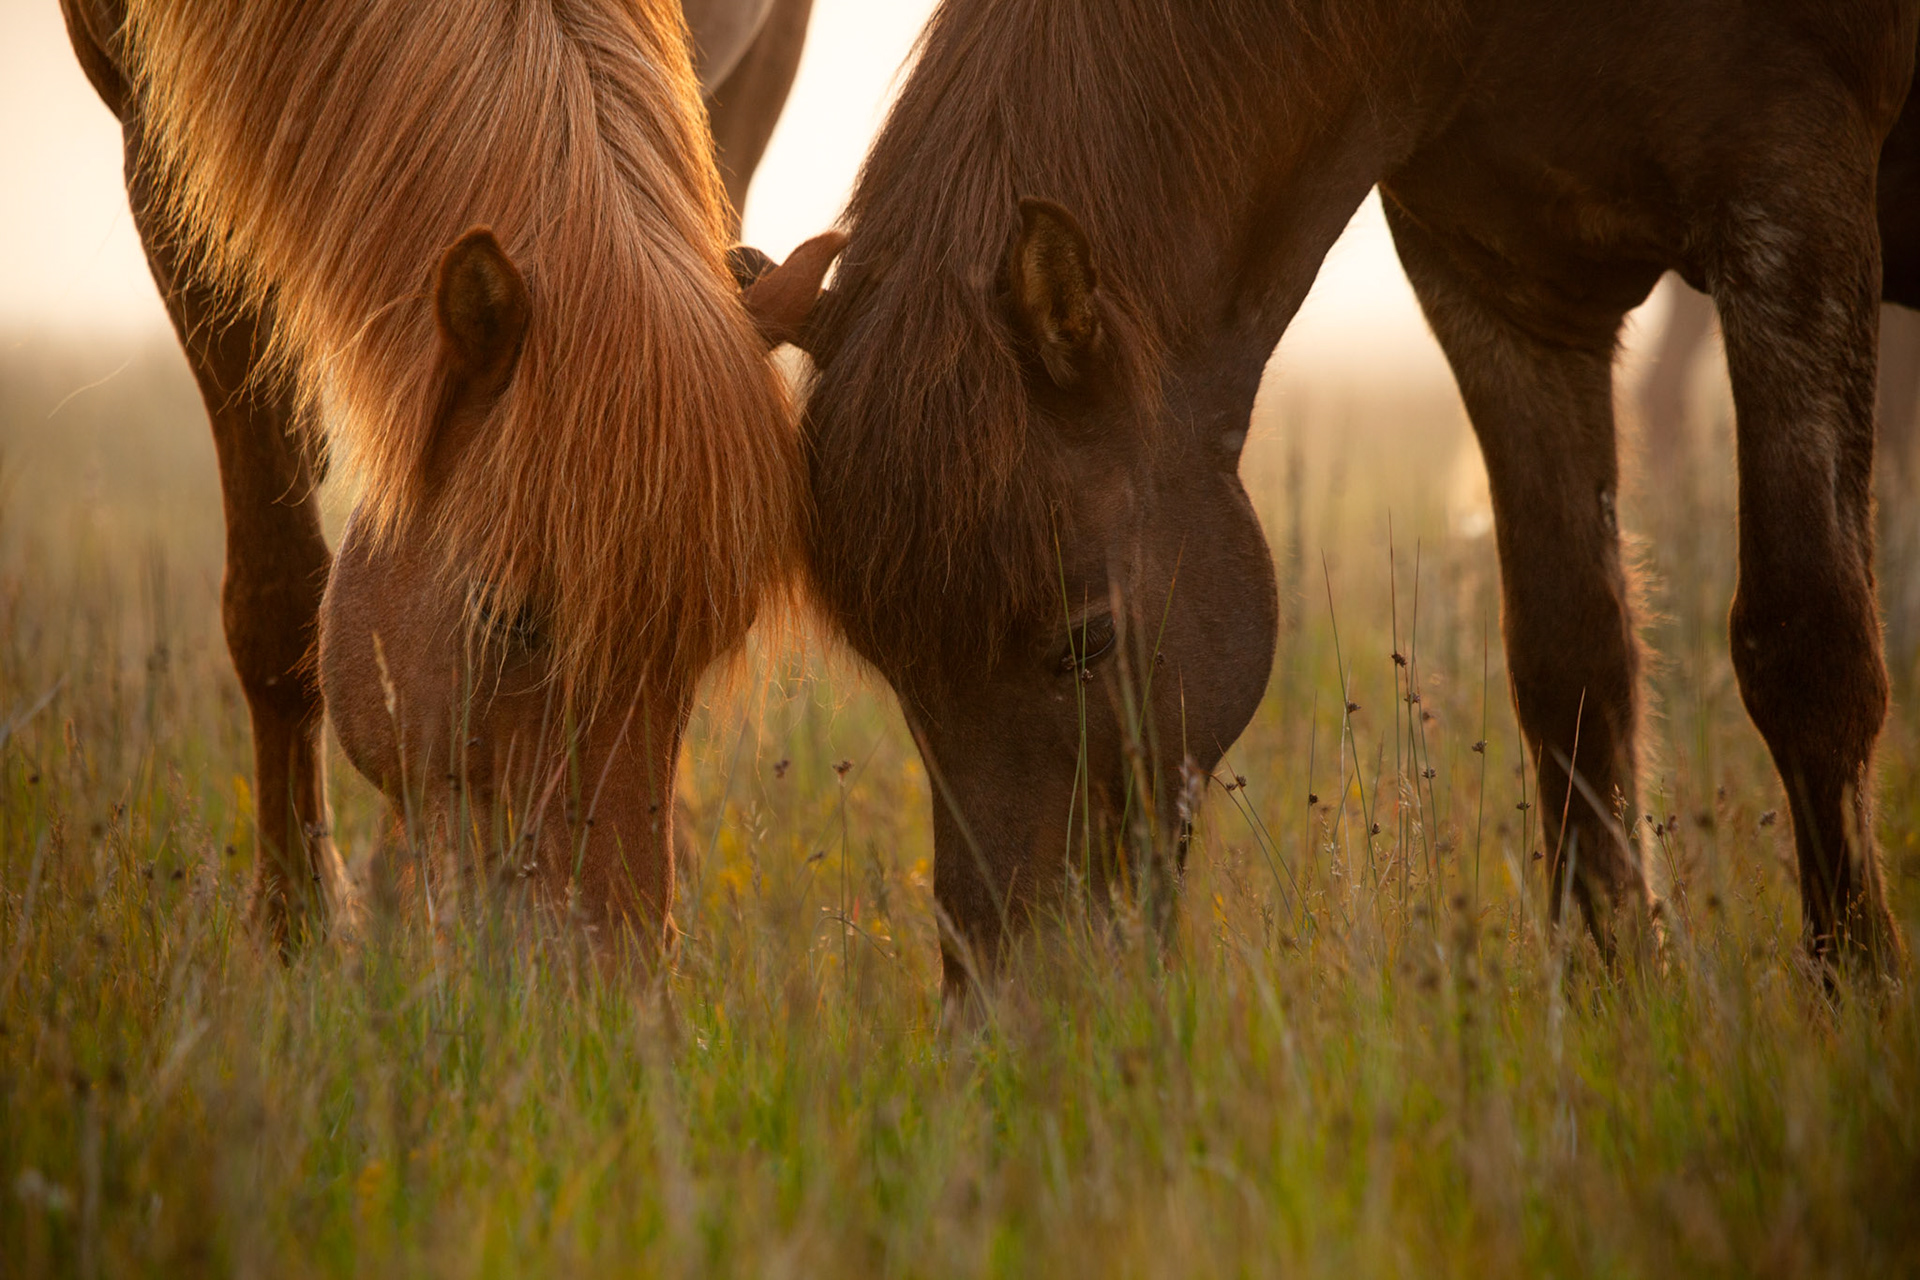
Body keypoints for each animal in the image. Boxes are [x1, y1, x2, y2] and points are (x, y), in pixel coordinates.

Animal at [61, 0, 837, 953]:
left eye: (719, 635)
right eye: (510, 618)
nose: (611, 976)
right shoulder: (169, 153)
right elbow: (276, 599)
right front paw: (294, 926)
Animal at [798, 0, 1920, 990]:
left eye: (1087, 640)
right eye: (897, 672)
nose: (1018, 1011)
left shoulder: (1793, 197)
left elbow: (1807, 645)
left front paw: (1852, 997)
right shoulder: (1504, 291)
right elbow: (1574, 666)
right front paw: (1615, 993)